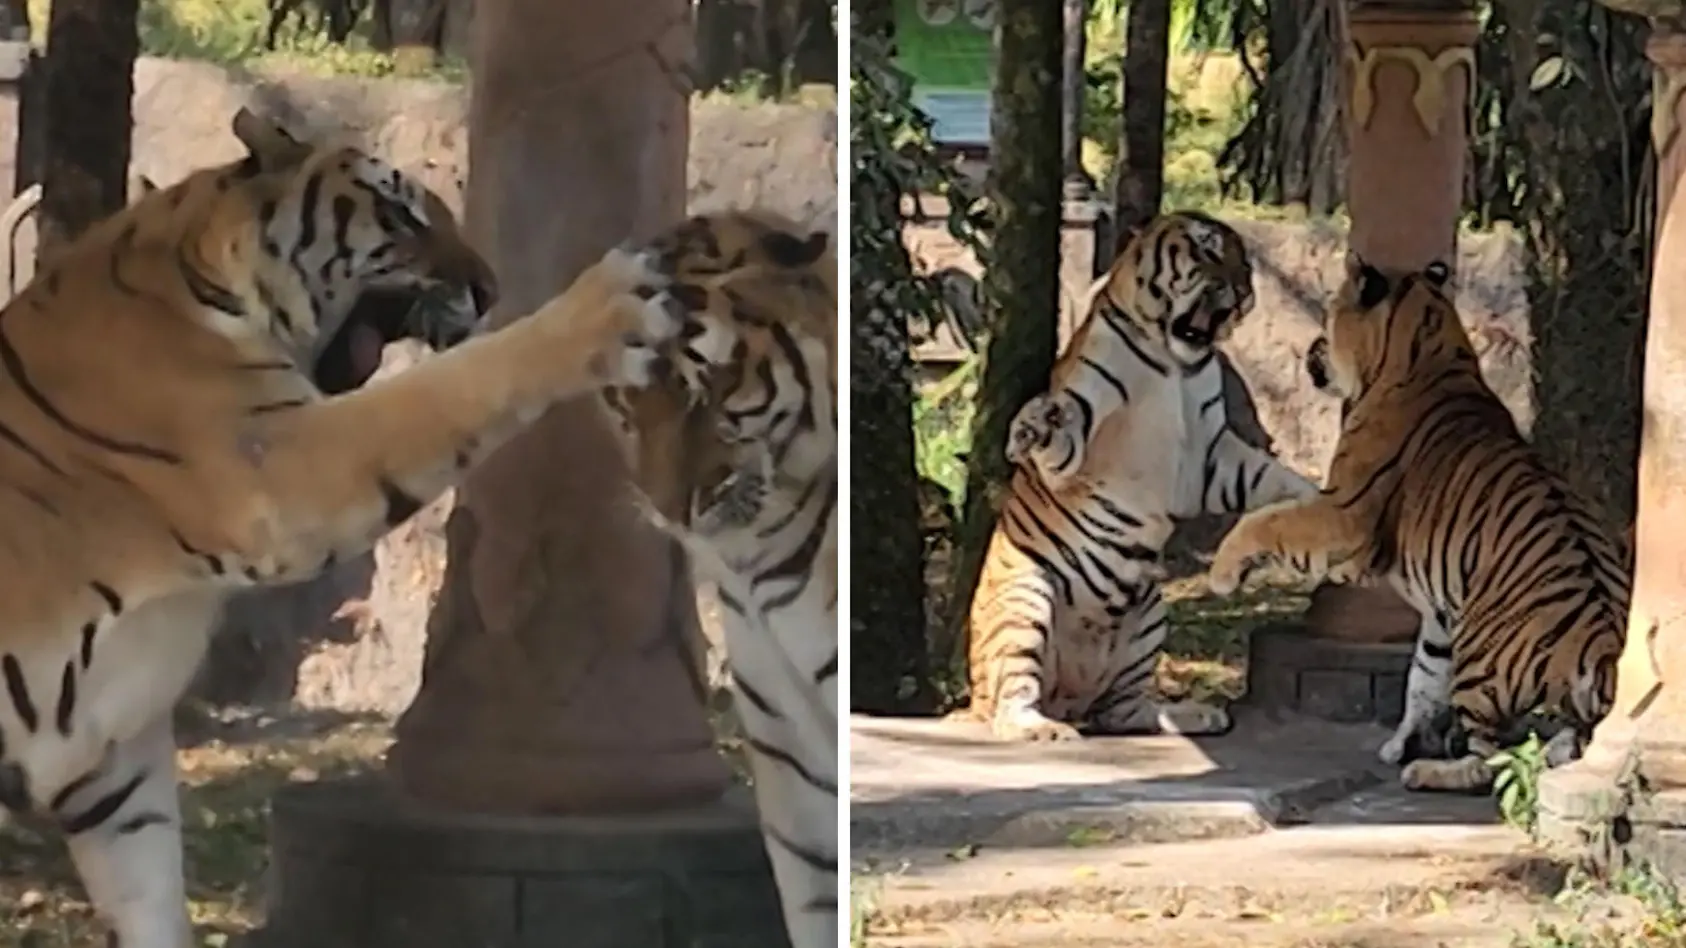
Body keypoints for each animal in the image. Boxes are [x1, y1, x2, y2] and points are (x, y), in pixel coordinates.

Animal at [0, 106, 690, 948]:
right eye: (400, 213)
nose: (490, 289)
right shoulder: (286, 463)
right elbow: (455, 387)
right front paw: (610, 305)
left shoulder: (113, 750)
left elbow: (151, 892)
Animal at [958, 210, 1318, 743]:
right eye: (1208, 247)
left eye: (1246, 265)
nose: (1243, 293)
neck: (1173, 362)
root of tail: (1068, 700)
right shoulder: (1084, 435)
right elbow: (1058, 439)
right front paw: (1033, 427)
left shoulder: (1212, 456)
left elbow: (1266, 475)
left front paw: (1314, 499)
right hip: (1025, 600)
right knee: (1011, 700)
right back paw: (1041, 728)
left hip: (1150, 614)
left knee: (1122, 711)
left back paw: (1195, 715)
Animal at [1205, 253, 1631, 792]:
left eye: (1329, 316)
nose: (1311, 351)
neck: (1428, 345)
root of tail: (1603, 645)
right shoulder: (1442, 615)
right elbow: (1423, 678)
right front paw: (1399, 742)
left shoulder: (1343, 518)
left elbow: (1267, 522)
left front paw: (1223, 573)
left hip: (1481, 659)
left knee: (1490, 762)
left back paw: (1428, 772)